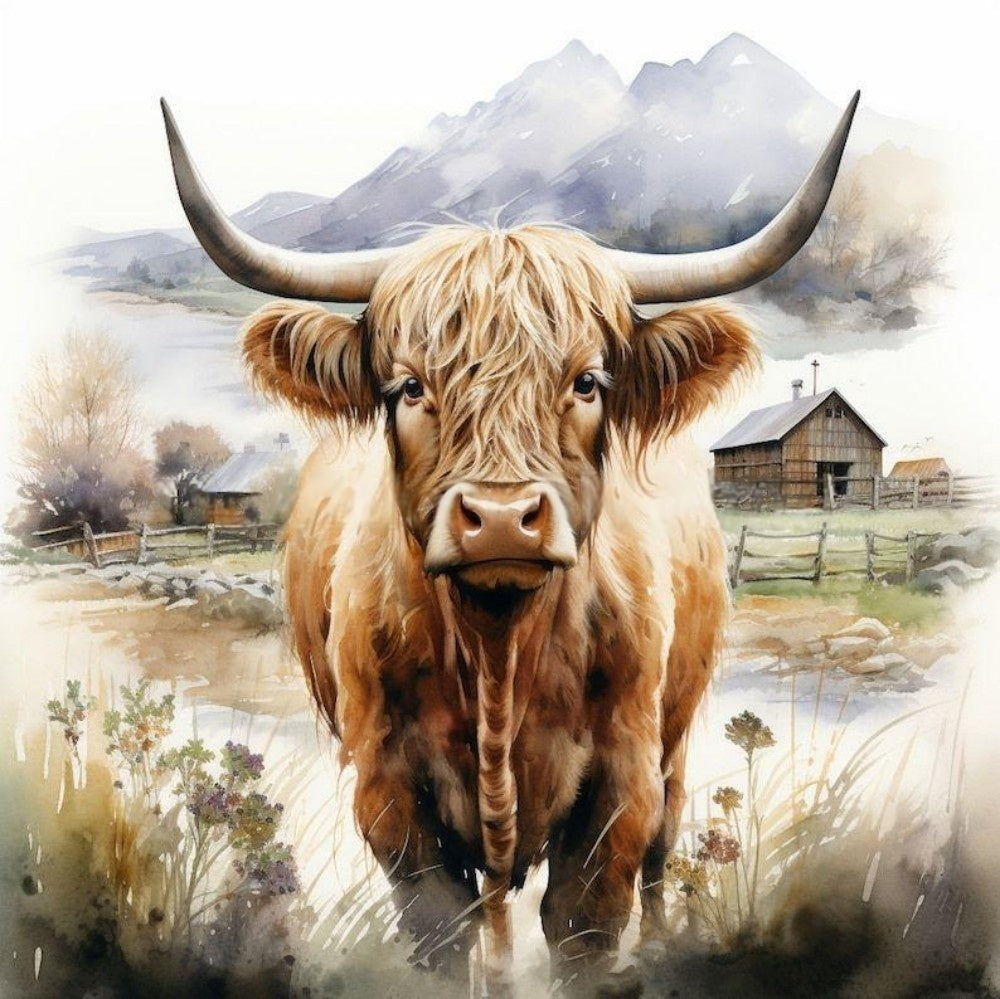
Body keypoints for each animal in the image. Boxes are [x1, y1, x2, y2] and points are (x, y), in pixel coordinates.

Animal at [161, 92, 858, 995]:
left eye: (588, 381)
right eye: (409, 385)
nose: (498, 517)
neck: (499, 651)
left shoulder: (620, 780)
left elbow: (586, 924)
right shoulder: (389, 788)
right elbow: (438, 928)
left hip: (675, 738)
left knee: (663, 852)